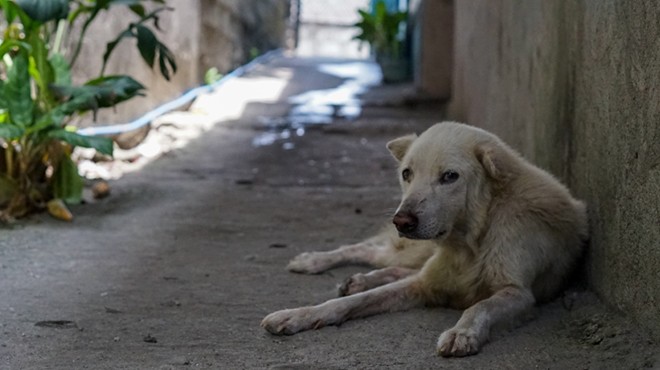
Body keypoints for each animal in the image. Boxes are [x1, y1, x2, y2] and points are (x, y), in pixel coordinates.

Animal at [260, 123, 584, 356]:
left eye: (450, 176)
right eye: (407, 173)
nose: (401, 221)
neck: (471, 243)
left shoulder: (519, 294)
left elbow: (479, 306)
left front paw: (462, 333)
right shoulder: (423, 283)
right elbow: (349, 302)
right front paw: (297, 315)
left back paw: (358, 278)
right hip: (413, 250)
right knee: (369, 251)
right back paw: (314, 261)